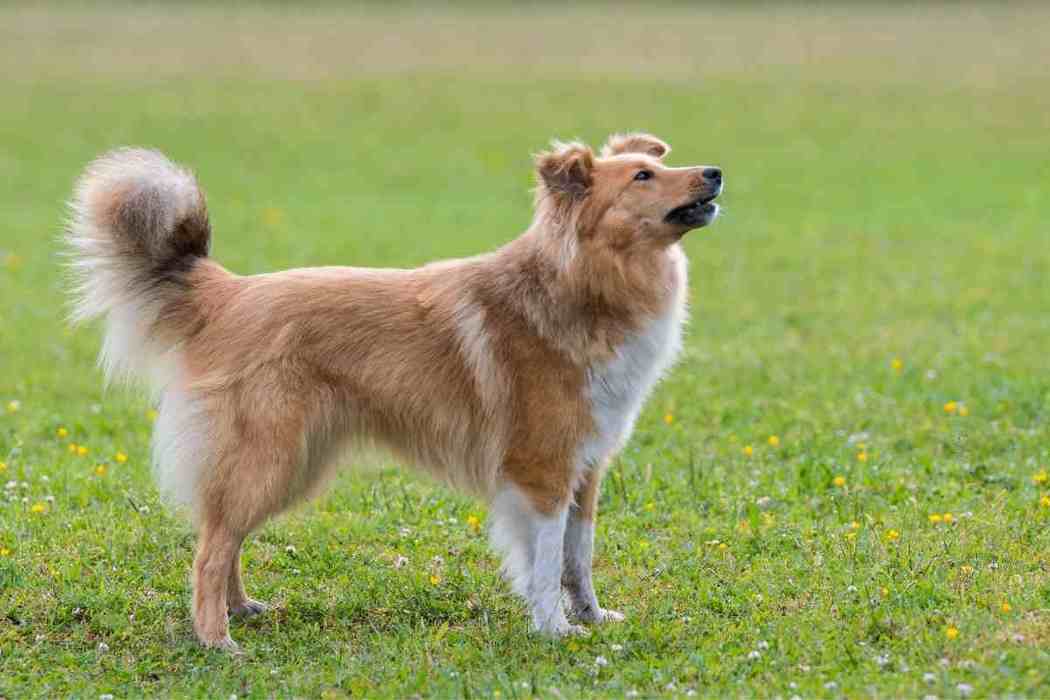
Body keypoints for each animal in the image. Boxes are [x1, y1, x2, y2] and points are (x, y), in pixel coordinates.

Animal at [65, 132, 722, 650]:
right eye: (643, 176)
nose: (715, 172)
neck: (581, 284)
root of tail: (226, 293)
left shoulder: (584, 471)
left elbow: (576, 557)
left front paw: (592, 618)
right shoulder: (541, 473)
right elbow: (541, 562)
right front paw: (554, 630)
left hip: (290, 463)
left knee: (221, 536)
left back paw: (242, 609)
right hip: (269, 457)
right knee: (209, 548)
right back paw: (216, 639)